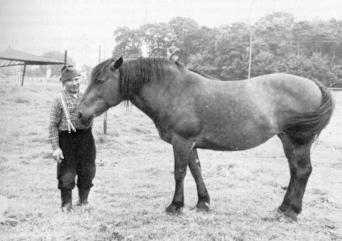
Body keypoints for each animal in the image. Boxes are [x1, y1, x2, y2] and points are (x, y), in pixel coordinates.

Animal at [77, 57, 334, 220]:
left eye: (101, 81)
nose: (79, 113)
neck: (174, 91)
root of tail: (313, 84)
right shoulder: (190, 144)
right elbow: (196, 170)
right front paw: (203, 203)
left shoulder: (181, 142)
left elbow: (180, 172)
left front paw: (175, 206)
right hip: (287, 140)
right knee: (294, 171)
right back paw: (283, 208)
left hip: (300, 141)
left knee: (303, 171)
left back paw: (292, 212)